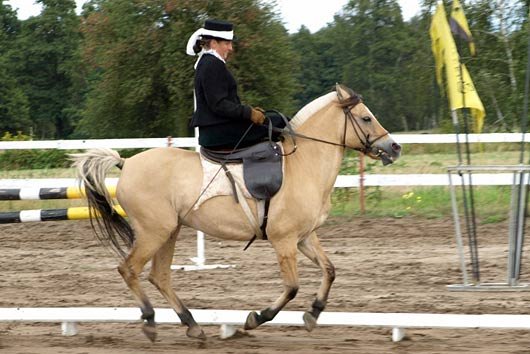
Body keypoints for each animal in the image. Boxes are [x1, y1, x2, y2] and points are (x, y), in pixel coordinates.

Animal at [70, 83, 400, 342]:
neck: (304, 165)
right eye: (366, 117)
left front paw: (313, 314)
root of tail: (126, 163)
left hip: (169, 231)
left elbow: (330, 270)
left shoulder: (305, 237)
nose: (394, 147)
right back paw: (151, 321)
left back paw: (192, 325)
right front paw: (256, 318)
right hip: (154, 232)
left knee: (159, 276)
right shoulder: (284, 241)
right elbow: (292, 287)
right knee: (130, 269)